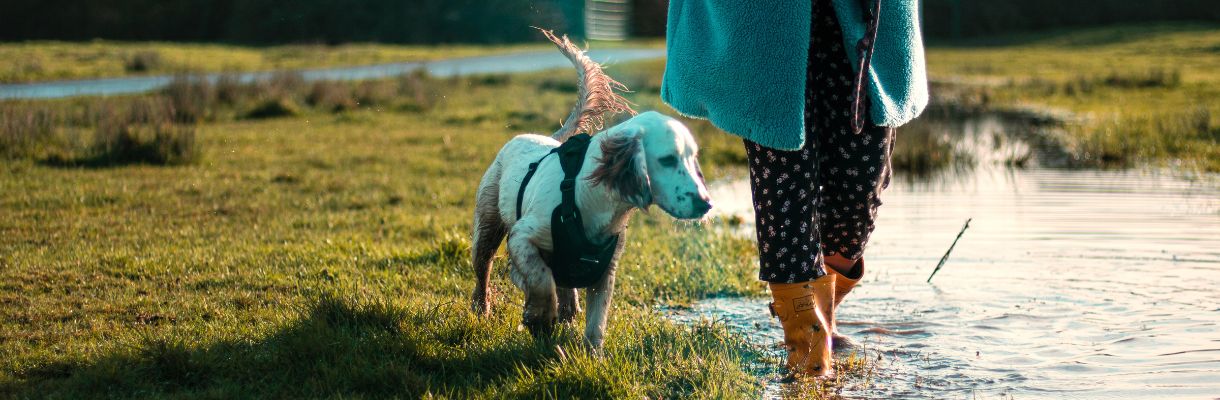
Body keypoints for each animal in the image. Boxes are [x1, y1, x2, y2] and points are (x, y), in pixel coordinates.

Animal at [468, 30, 712, 351]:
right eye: (668, 159)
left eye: (693, 158)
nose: (706, 204)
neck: (591, 200)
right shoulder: (521, 236)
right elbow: (540, 280)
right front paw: (539, 316)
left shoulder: (605, 268)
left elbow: (596, 322)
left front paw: (591, 355)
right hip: (488, 228)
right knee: (484, 271)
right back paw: (481, 309)